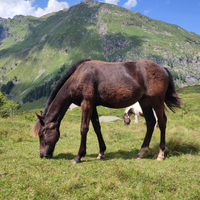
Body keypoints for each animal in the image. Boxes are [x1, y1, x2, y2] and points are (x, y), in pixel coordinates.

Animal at [33, 58, 181, 163]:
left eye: (42, 133)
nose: (42, 155)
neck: (78, 76)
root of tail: (162, 68)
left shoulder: (86, 103)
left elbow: (84, 128)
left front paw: (79, 156)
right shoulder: (92, 105)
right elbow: (96, 127)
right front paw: (101, 153)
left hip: (156, 100)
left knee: (161, 122)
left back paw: (161, 154)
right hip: (144, 101)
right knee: (150, 122)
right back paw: (142, 152)